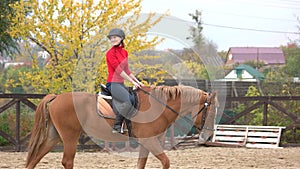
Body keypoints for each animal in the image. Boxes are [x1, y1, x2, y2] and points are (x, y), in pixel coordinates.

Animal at [26, 85, 218, 168]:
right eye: (210, 112)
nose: (207, 137)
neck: (159, 105)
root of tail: (56, 97)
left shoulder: (146, 143)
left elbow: (141, 164)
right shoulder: (150, 141)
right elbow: (165, 162)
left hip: (54, 136)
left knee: (35, 158)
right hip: (69, 137)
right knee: (67, 161)